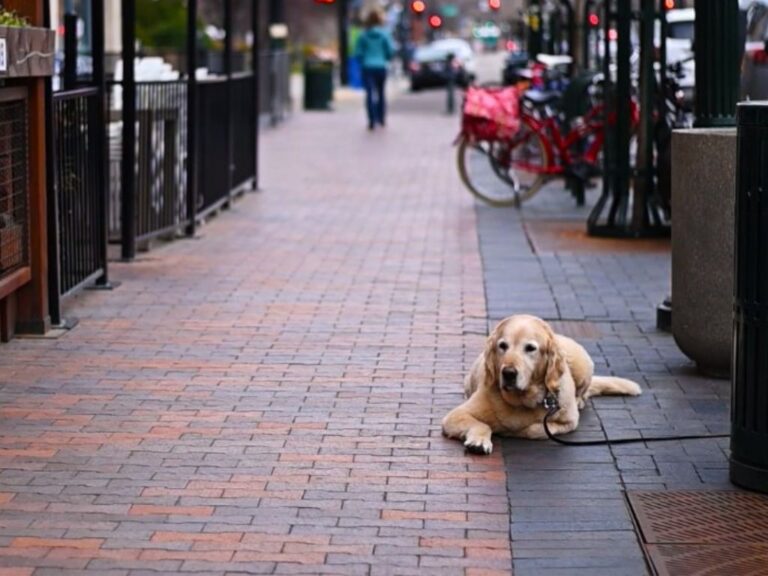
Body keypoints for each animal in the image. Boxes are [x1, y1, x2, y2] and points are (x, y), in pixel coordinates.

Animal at [440, 316, 640, 454]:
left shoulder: (569, 421)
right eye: (502, 345)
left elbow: (536, 430)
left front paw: (514, 431)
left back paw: (579, 400)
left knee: (583, 391)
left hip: (582, 362)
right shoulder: (455, 415)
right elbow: (482, 425)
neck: (522, 400)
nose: (508, 373)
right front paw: (479, 441)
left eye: (530, 348)